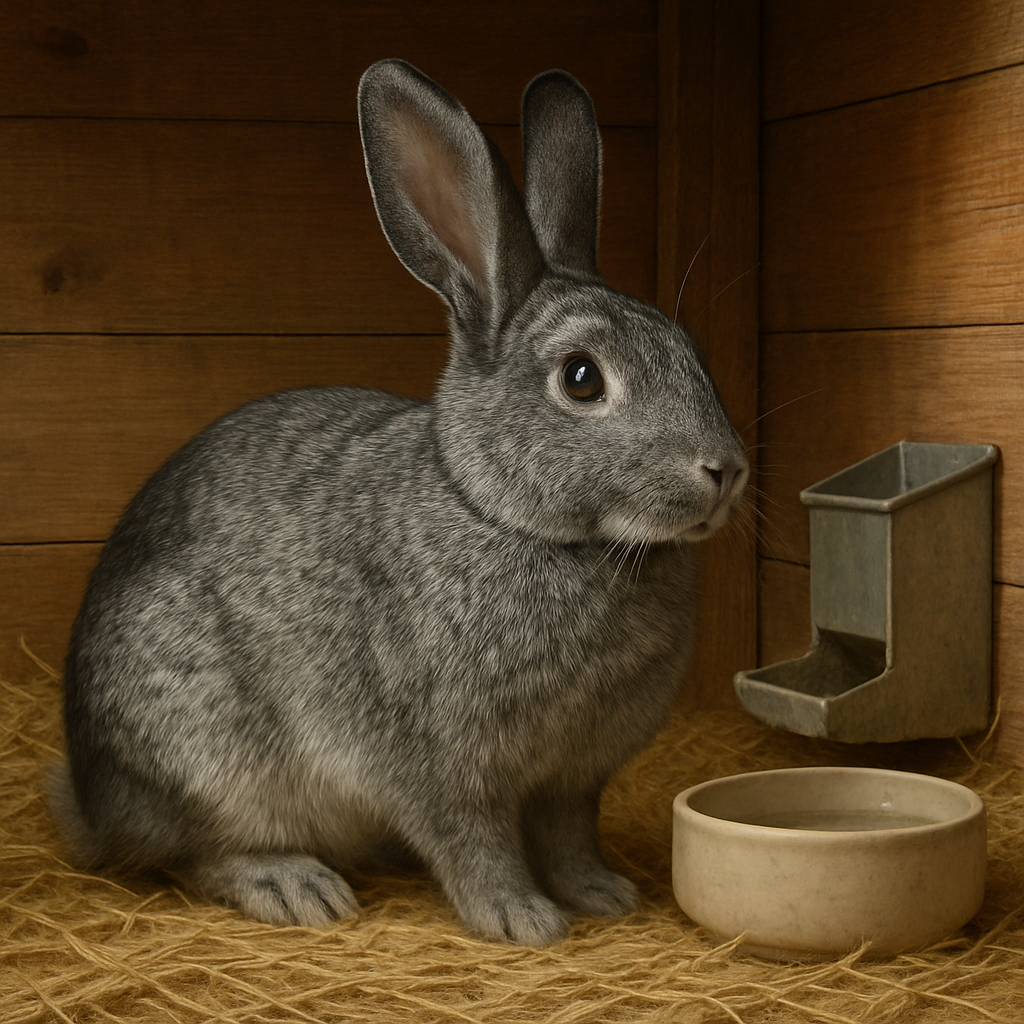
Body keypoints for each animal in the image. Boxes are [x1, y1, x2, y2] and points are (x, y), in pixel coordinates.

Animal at [52, 58, 749, 946]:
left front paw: (601, 893)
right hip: (203, 755)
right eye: (582, 379)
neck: (505, 514)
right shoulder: (437, 763)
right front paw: (521, 917)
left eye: (689, 350)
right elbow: (472, 841)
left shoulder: (574, 776)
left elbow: (569, 835)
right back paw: (294, 886)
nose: (725, 469)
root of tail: (88, 799)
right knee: (188, 854)